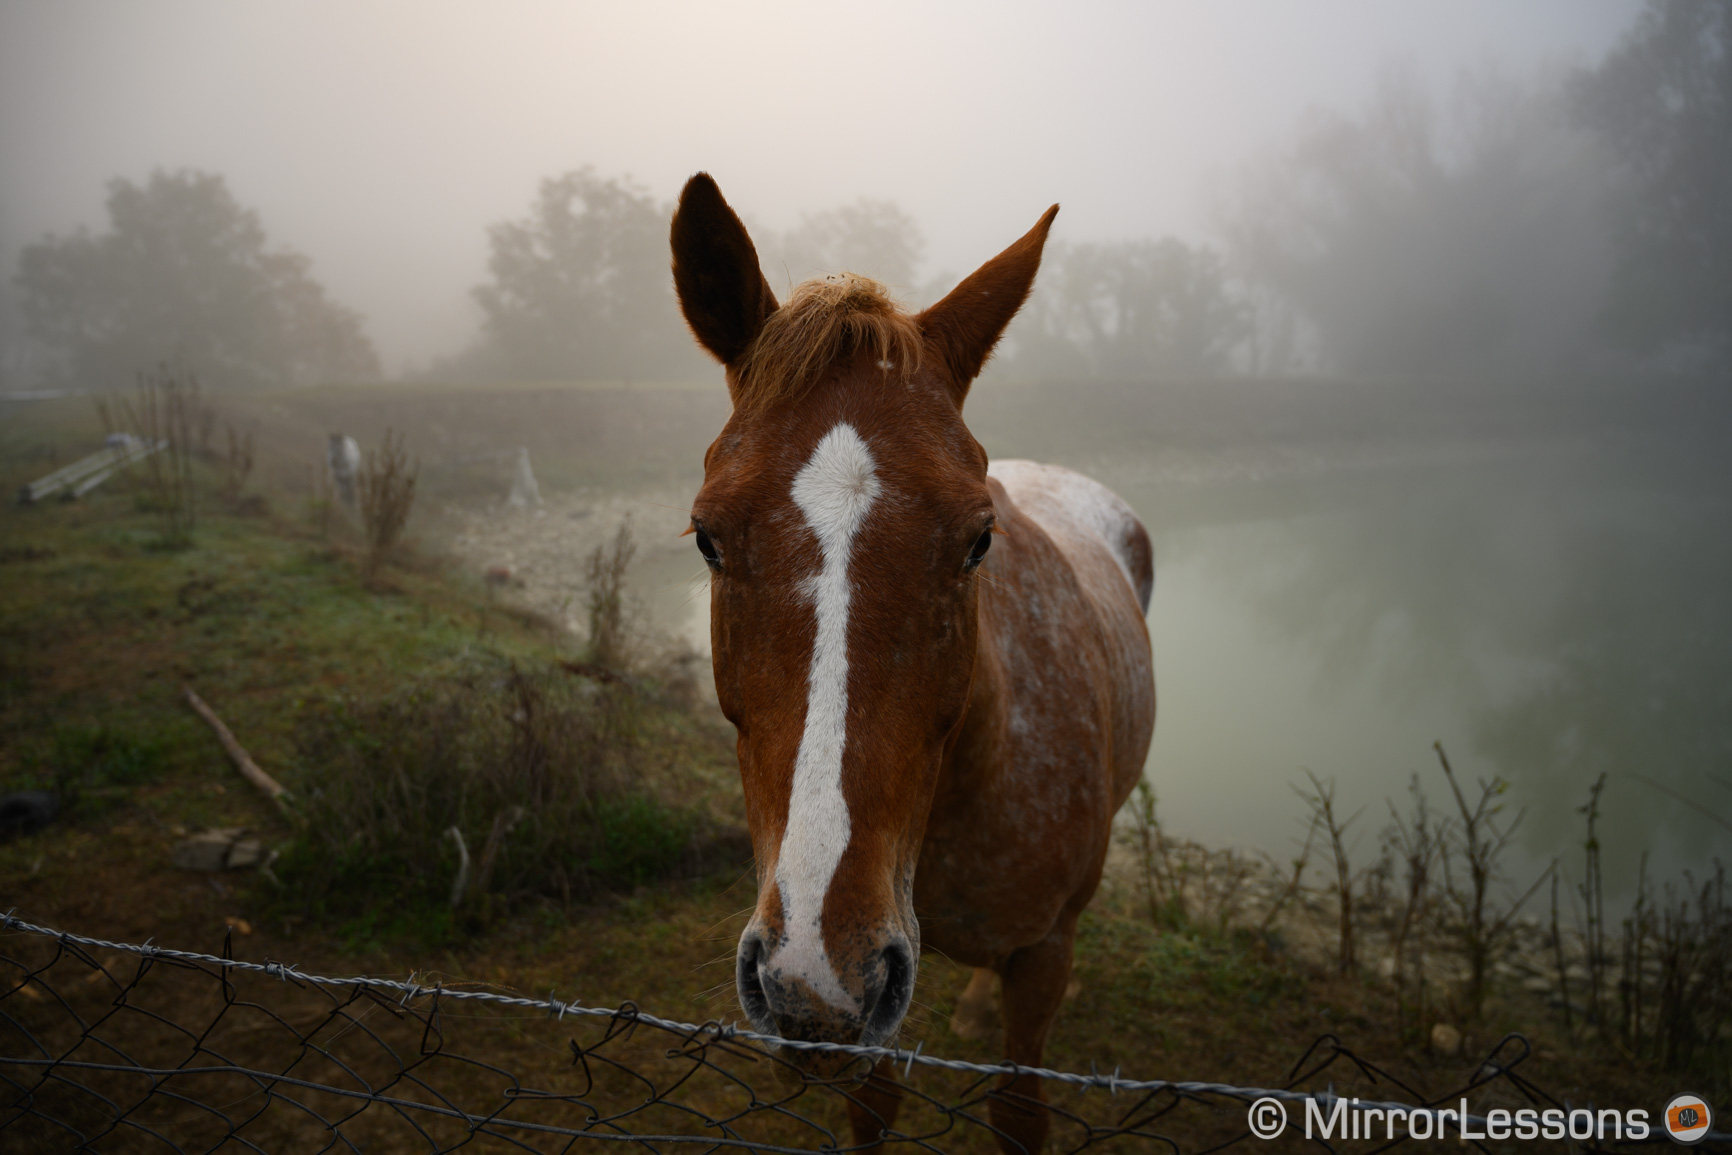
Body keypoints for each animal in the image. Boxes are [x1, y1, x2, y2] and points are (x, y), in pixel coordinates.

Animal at [672, 174, 1150, 1155]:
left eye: (979, 540)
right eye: (706, 536)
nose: (813, 976)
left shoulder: (1040, 958)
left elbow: (1019, 1109)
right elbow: (872, 1104)